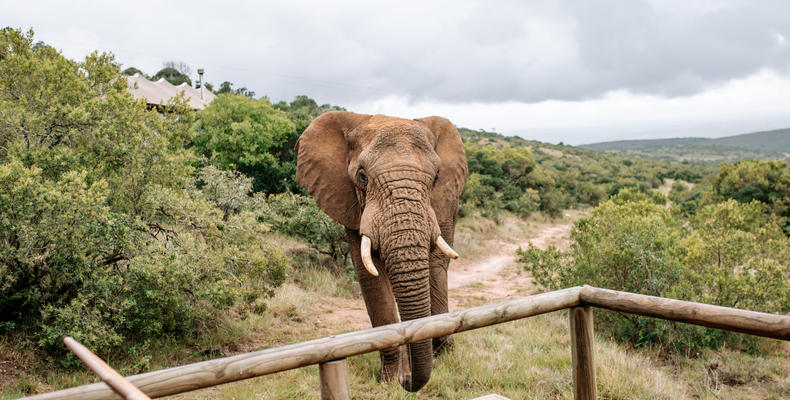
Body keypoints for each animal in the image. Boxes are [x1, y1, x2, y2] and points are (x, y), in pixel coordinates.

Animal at [296, 111, 470, 392]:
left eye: (435, 178)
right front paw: (389, 380)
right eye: (362, 177)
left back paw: (444, 352)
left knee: (437, 265)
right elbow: (371, 276)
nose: (408, 382)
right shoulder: (350, 202)